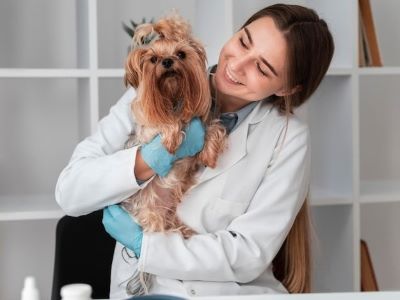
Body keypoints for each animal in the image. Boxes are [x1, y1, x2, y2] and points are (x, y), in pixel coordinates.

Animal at [122, 13, 227, 239]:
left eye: (181, 54)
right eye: (153, 59)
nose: (168, 61)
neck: (173, 97)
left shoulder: (201, 124)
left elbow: (215, 127)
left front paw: (209, 154)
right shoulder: (148, 131)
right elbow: (167, 122)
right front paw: (172, 139)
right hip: (149, 213)